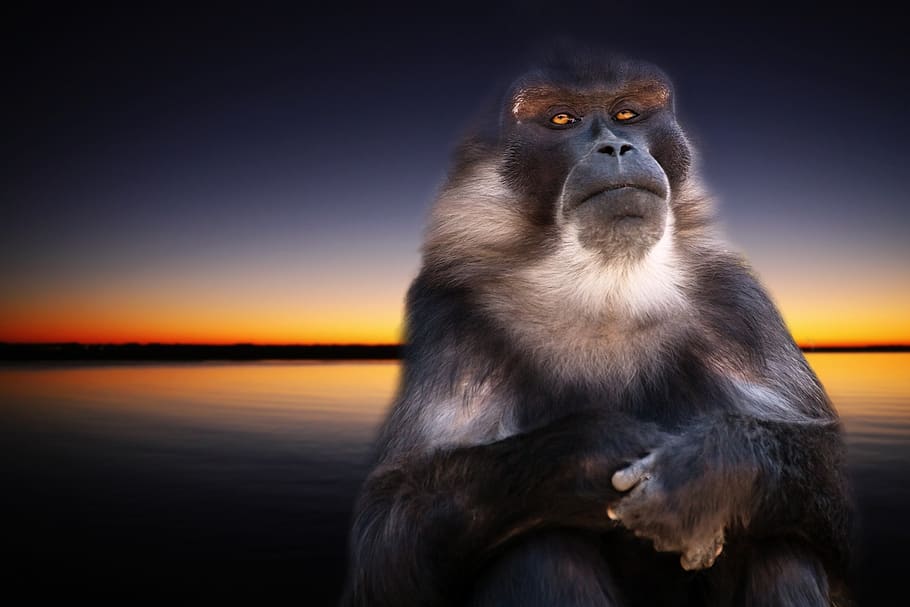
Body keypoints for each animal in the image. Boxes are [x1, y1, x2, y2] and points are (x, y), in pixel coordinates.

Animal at [340, 49, 853, 607]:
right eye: (562, 118)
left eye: (627, 113)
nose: (616, 147)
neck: (606, 294)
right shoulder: (448, 313)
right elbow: (382, 540)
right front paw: (593, 453)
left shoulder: (739, 306)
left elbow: (844, 509)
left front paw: (712, 472)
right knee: (540, 546)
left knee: (781, 548)